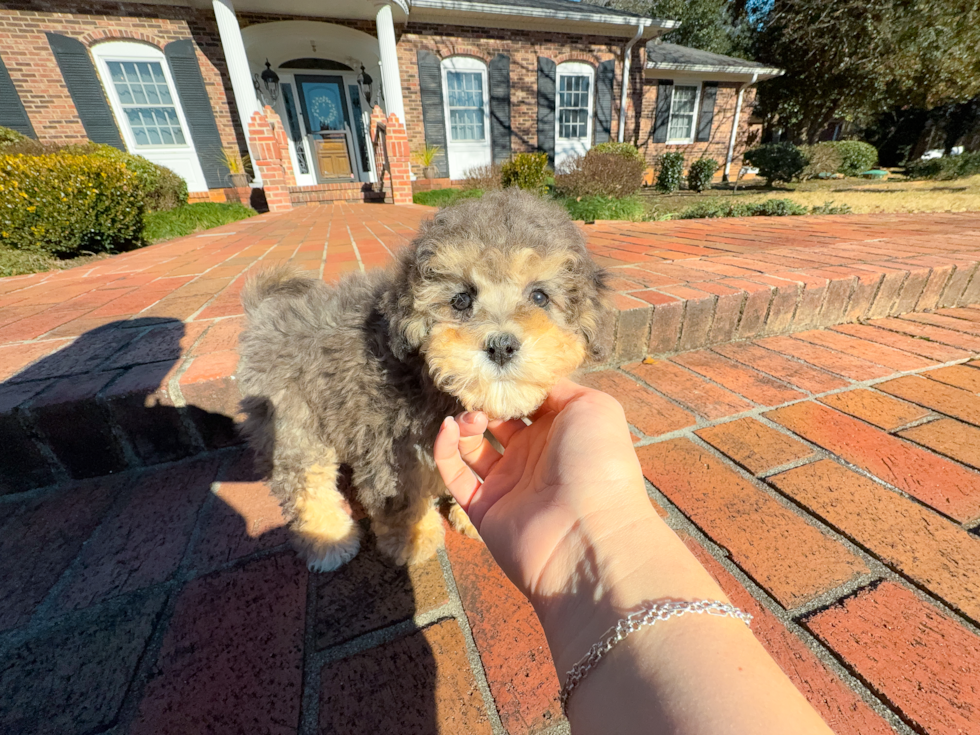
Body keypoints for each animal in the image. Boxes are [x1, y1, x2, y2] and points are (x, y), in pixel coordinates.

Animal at [234, 188, 608, 568]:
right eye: (461, 299)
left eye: (539, 296)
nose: (501, 346)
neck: (429, 380)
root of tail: (265, 310)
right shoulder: (387, 446)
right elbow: (401, 501)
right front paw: (413, 541)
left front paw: (468, 517)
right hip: (292, 422)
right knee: (305, 483)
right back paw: (328, 540)